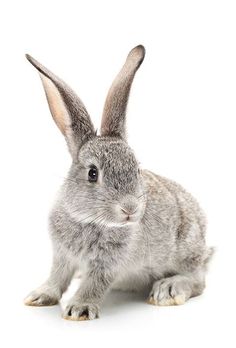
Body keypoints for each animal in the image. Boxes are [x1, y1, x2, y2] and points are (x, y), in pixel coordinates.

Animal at [24, 44, 214, 320]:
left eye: (136, 168)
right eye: (93, 173)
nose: (130, 208)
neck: (89, 220)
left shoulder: (108, 264)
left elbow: (94, 283)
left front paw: (79, 308)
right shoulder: (62, 256)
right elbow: (58, 277)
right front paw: (40, 296)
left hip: (185, 249)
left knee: (198, 280)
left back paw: (168, 289)